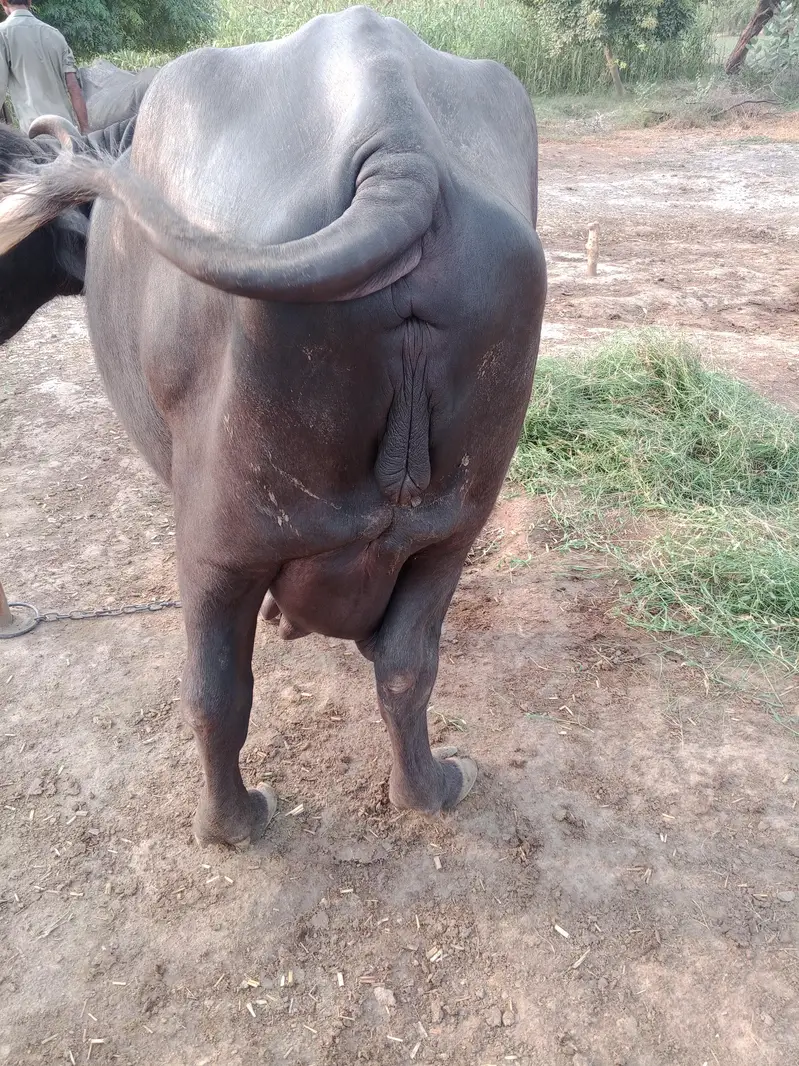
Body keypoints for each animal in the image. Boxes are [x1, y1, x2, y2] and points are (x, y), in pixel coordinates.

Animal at [0, 8, 547, 848]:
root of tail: (401, 153)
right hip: (454, 527)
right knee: (406, 664)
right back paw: (430, 788)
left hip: (216, 539)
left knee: (214, 689)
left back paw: (231, 823)